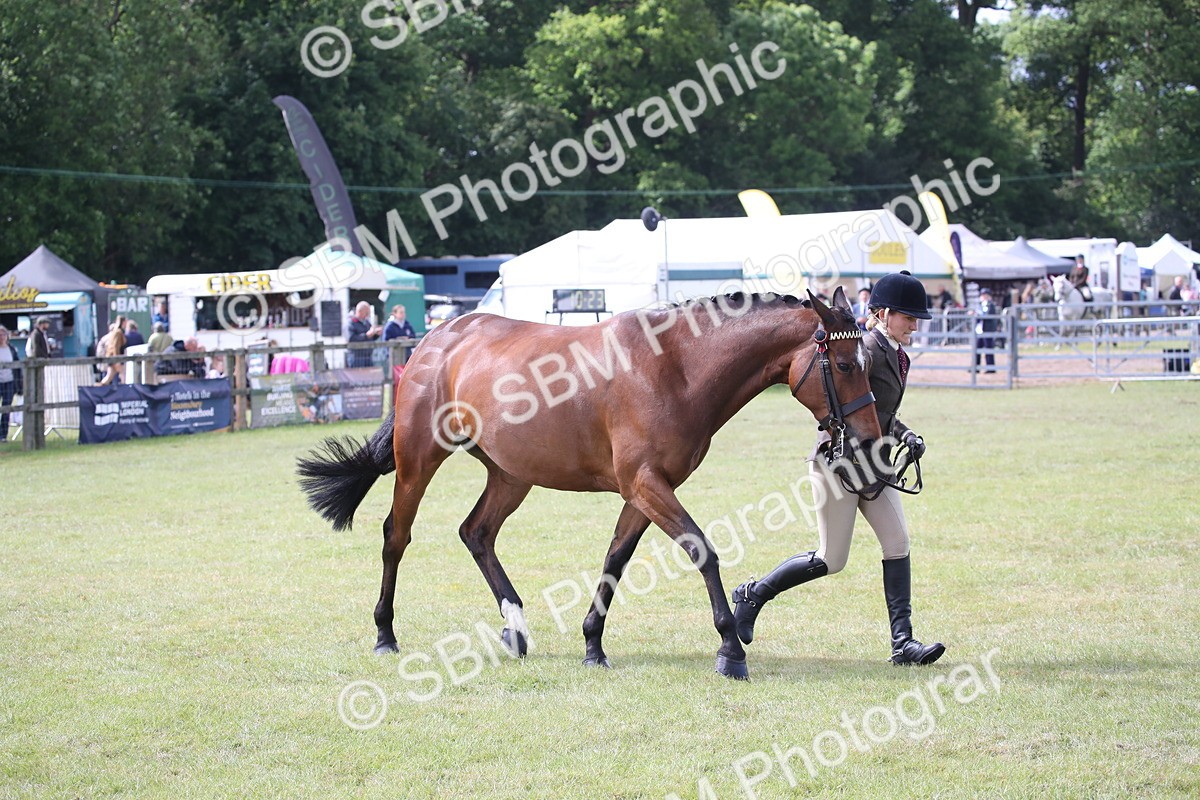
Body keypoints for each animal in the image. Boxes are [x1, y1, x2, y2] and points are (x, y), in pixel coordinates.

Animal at [296, 288, 883, 680]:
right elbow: (703, 550)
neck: (675, 365)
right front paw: (730, 649)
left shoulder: (643, 491)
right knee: (396, 536)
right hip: (420, 459)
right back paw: (385, 634)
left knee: (476, 533)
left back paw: (515, 628)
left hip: (511, 475)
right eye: (847, 364)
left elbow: (615, 561)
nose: (871, 438)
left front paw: (592, 645)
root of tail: (437, 338)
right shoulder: (646, 484)